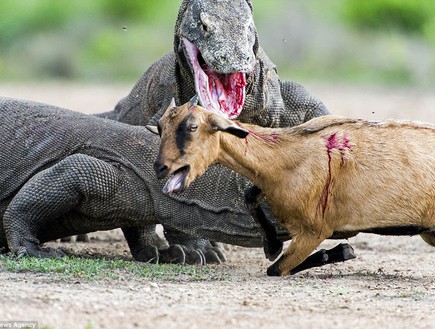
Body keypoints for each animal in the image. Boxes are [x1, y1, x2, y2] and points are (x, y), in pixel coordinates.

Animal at [152, 98, 435, 276]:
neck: (287, 155)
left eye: (192, 127)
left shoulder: (314, 230)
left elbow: (276, 269)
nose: (160, 168)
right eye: (161, 127)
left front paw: (339, 252)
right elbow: (250, 195)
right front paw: (272, 245)